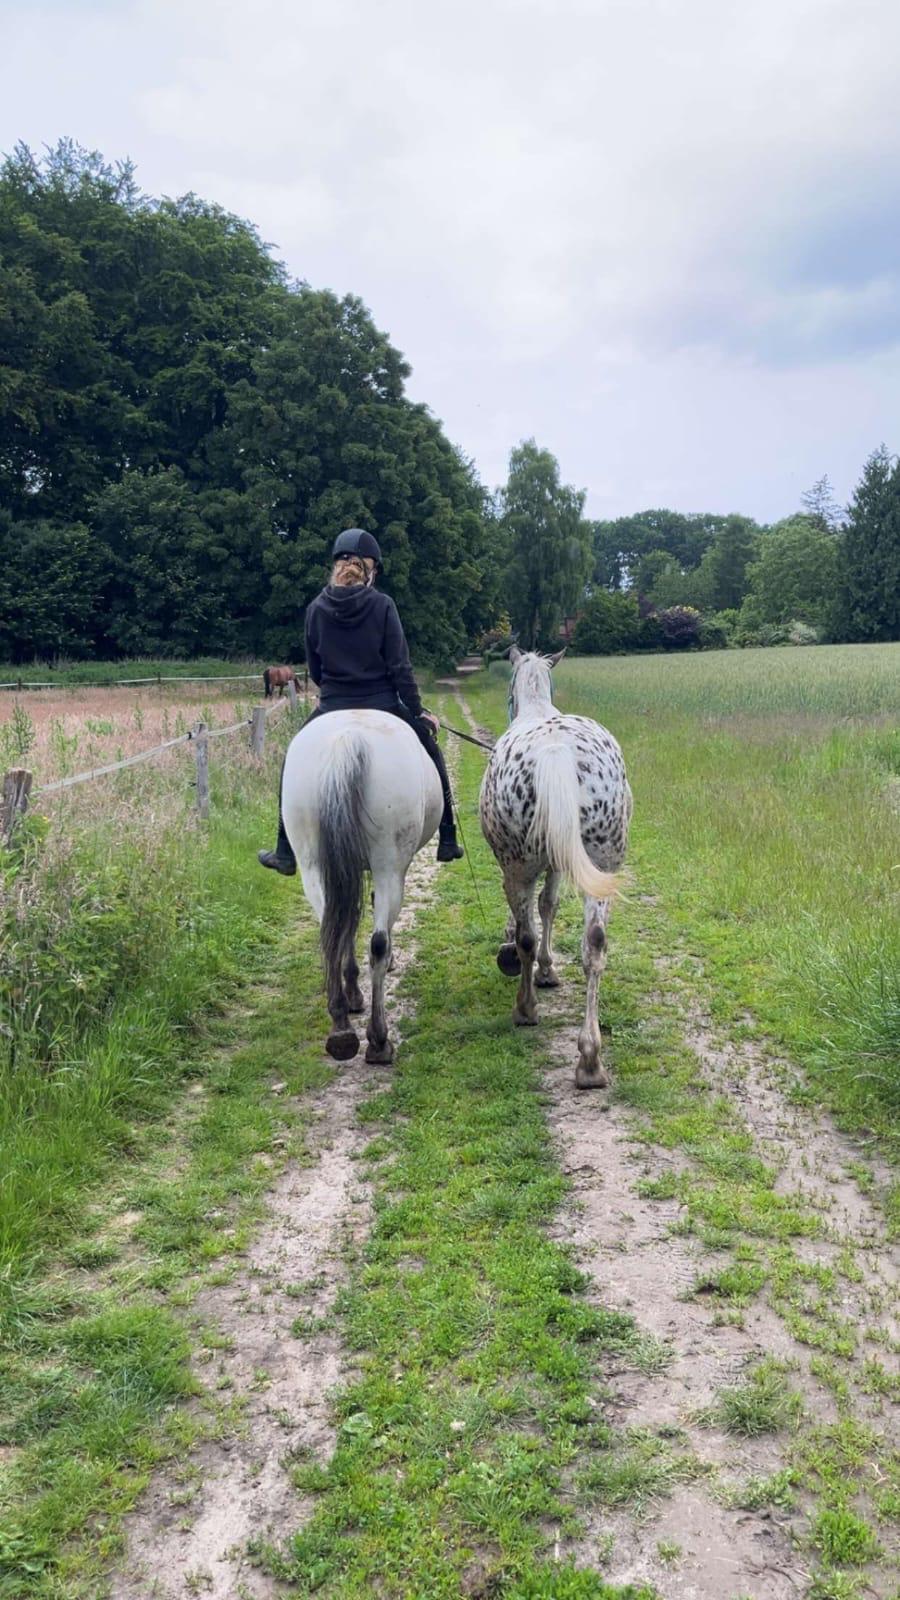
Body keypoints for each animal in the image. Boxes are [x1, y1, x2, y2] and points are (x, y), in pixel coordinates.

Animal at [281, 709, 443, 1063]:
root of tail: (347, 739)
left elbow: (348, 925)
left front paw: (353, 993)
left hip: (313, 868)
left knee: (331, 934)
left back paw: (341, 1029)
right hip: (389, 867)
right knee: (377, 943)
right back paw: (379, 1040)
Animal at [479, 647, 632, 1089]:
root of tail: (555, 751)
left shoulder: (535, 868)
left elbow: (540, 913)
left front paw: (543, 971)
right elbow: (550, 907)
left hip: (518, 867)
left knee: (527, 935)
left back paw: (526, 1009)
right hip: (601, 862)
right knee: (594, 945)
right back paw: (590, 1060)